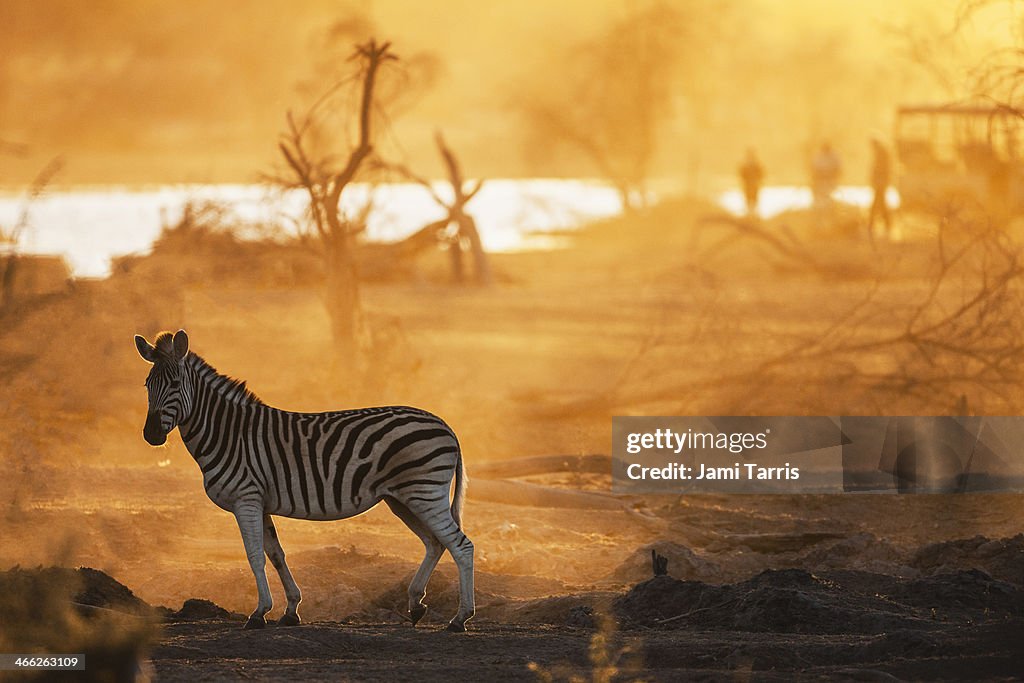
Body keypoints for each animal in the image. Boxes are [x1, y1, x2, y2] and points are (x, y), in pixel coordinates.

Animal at [131, 327, 475, 634]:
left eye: (176, 383)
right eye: (147, 384)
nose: (151, 435)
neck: (227, 433)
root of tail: (446, 425)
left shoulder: (245, 498)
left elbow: (254, 556)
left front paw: (258, 613)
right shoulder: (260, 501)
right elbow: (276, 555)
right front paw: (290, 610)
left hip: (423, 492)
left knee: (461, 545)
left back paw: (459, 620)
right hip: (402, 498)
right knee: (434, 543)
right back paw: (416, 605)